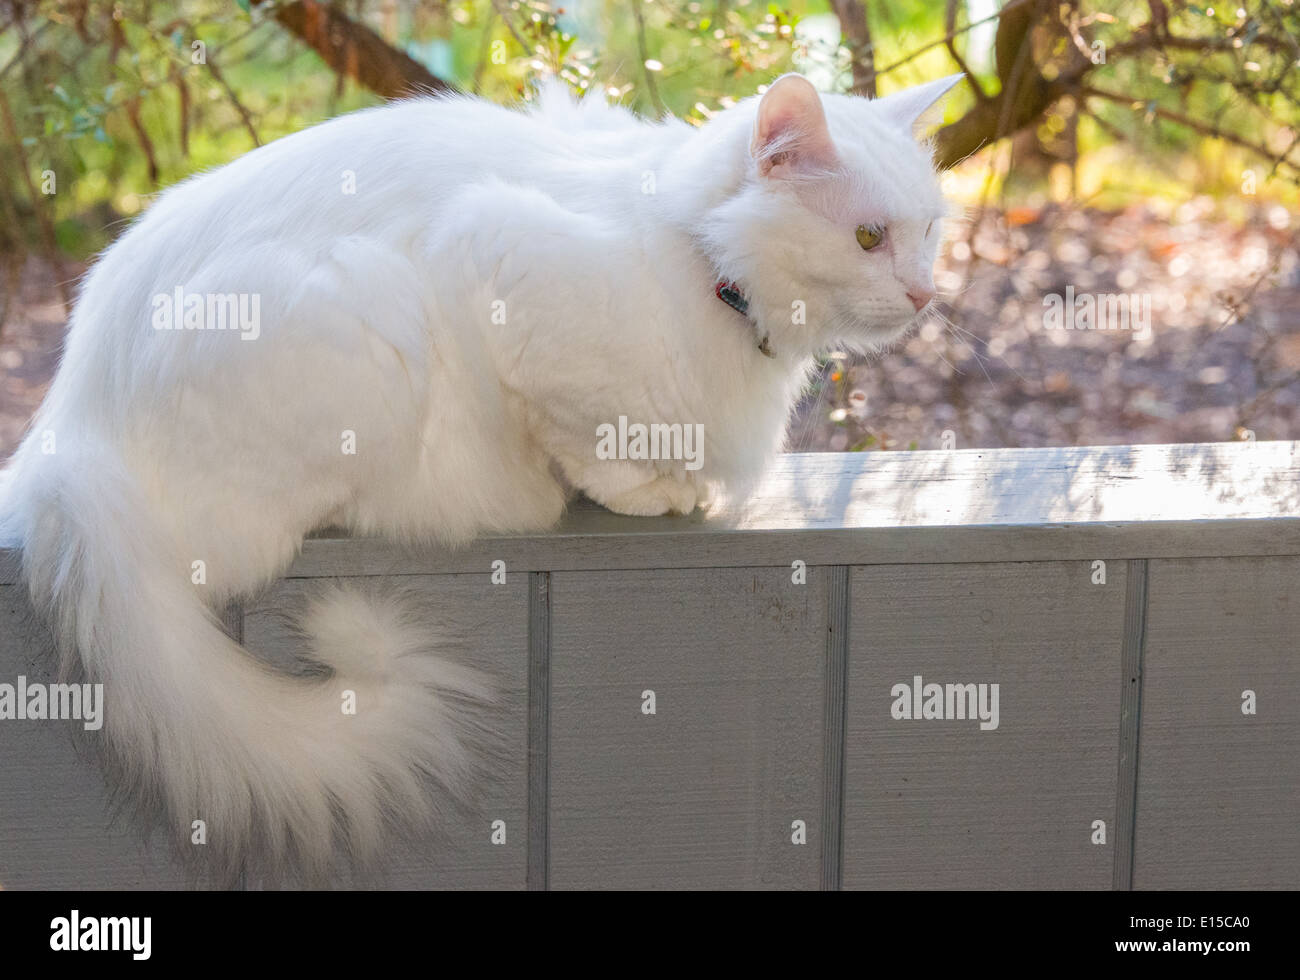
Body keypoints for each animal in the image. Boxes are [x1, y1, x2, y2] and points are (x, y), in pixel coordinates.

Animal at [0, 70, 956, 878]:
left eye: (930, 231)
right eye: (868, 237)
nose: (924, 294)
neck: (695, 255)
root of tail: (65, 445)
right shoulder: (505, 263)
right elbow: (589, 440)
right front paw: (646, 489)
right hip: (365, 309)